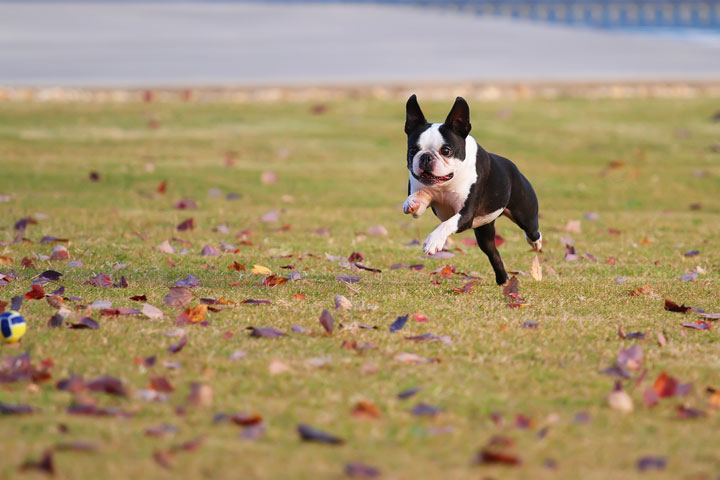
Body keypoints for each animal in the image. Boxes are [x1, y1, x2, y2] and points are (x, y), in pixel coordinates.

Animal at [402, 95, 544, 286]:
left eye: (446, 150)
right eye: (412, 150)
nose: (425, 157)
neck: (445, 183)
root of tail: (514, 168)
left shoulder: (465, 215)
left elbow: (446, 224)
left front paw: (434, 241)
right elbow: (419, 199)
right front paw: (412, 201)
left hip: (524, 214)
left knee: (532, 231)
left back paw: (535, 244)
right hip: (484, 232)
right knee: (493, 252)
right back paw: (504, 280)